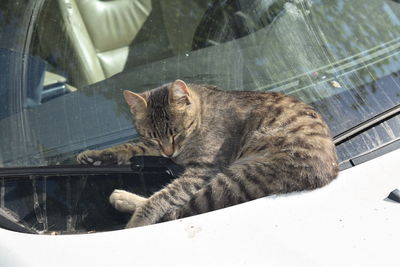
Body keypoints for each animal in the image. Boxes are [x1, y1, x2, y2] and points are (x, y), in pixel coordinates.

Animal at [77, 79, 338, 228]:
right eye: (153, 136)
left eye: (177, 133)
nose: (169, 152)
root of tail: (330, 174)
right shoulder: (156, 149)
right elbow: (131, 147)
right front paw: (94, 155)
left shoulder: (201, 169)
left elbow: (163, 198)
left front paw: (137, 222)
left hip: (235, 178)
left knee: (176, 209)